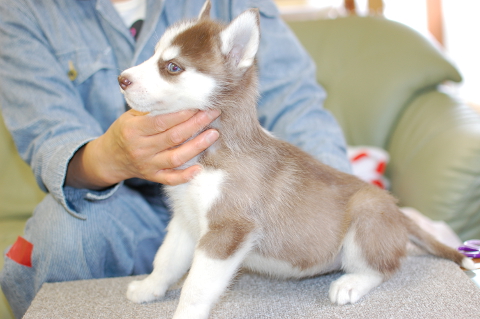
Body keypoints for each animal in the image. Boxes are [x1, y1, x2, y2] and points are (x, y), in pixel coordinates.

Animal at [118, 1, 474, 318]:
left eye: (172, 67)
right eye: (153, 54)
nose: (122, 79)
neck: (214, 152)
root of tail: (398, 211)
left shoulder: (227, 231)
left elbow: (195, 287)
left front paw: (183, 312)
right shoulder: (185, 220)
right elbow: (166, 260)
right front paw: (149, 287)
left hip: (365, 217)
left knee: (382, 268)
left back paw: (351, 284)